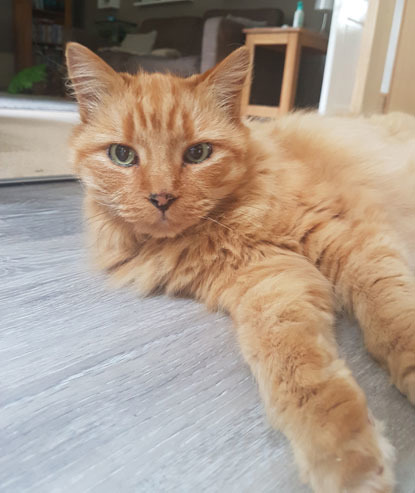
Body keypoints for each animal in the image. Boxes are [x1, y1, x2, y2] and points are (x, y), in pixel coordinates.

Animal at [66, 43, 415, 492]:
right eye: (122, 155)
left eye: (198, 153)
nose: (161, 198)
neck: (230, 222)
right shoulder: (267, 283)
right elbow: (301, 373)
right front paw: (347, 459)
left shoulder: (350, 237)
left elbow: (392, 315)